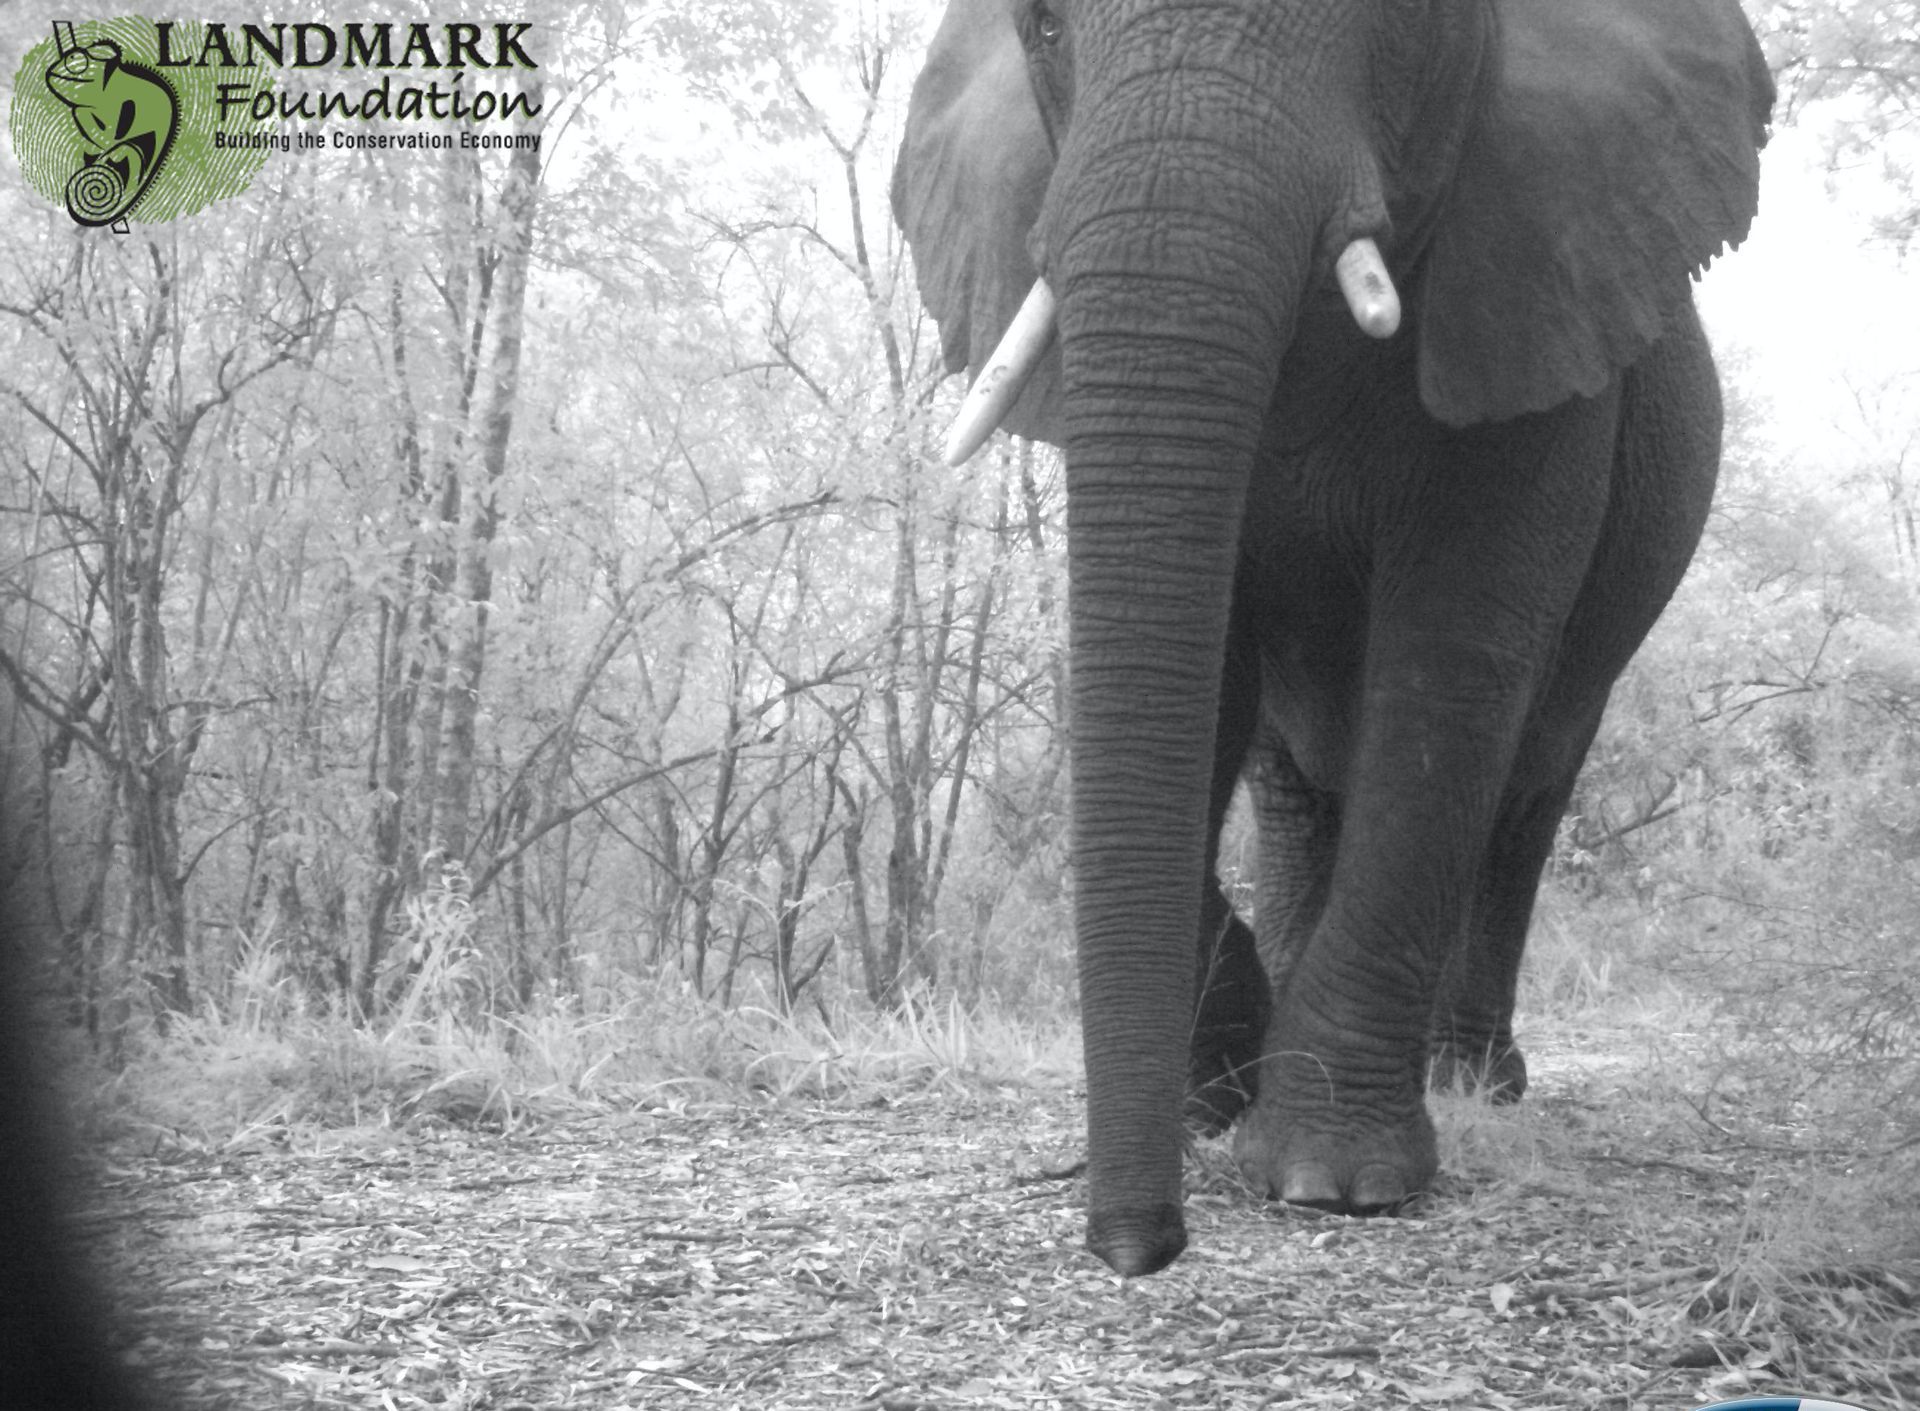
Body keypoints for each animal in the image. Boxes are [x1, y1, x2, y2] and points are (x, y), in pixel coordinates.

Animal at [891, 0, 1772, 1276]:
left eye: (1402, 20)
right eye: (1044, 30)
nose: (1140, 1248)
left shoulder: (1535, 305)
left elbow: (1452, 664)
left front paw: (1331, 1179)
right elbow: (1192, 673)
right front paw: (1222, 1096)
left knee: (1525, 791)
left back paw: (1470, 1079)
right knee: (1300, 787)